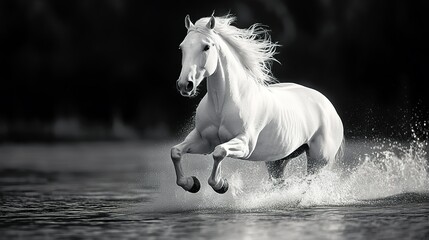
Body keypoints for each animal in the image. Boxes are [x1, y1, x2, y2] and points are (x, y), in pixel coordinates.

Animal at [172, 13, 342, 193]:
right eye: (182, 48)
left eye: (206, 47)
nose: (185, 85)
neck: (222, 104)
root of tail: (329, 106)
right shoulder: (204, 141)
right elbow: (175, 152)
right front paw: (191, 183)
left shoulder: (245, 144)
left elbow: (219, 152)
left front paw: (221, 184)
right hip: (277, 161)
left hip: (318, 162)